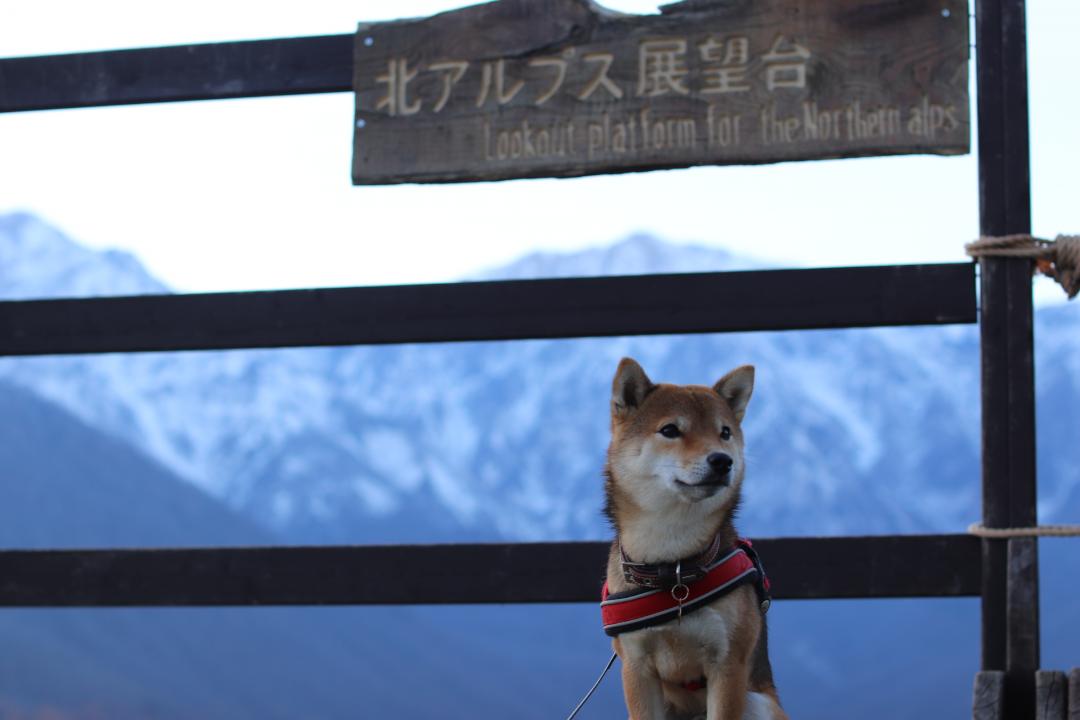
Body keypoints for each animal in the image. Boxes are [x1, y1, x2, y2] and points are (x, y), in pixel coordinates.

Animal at [600, 358, 786, 720]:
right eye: (670, 430)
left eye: (724, 433)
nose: (722, 460)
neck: (672, 567)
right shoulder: (636, 667)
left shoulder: (728, 664)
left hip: (759, 702)